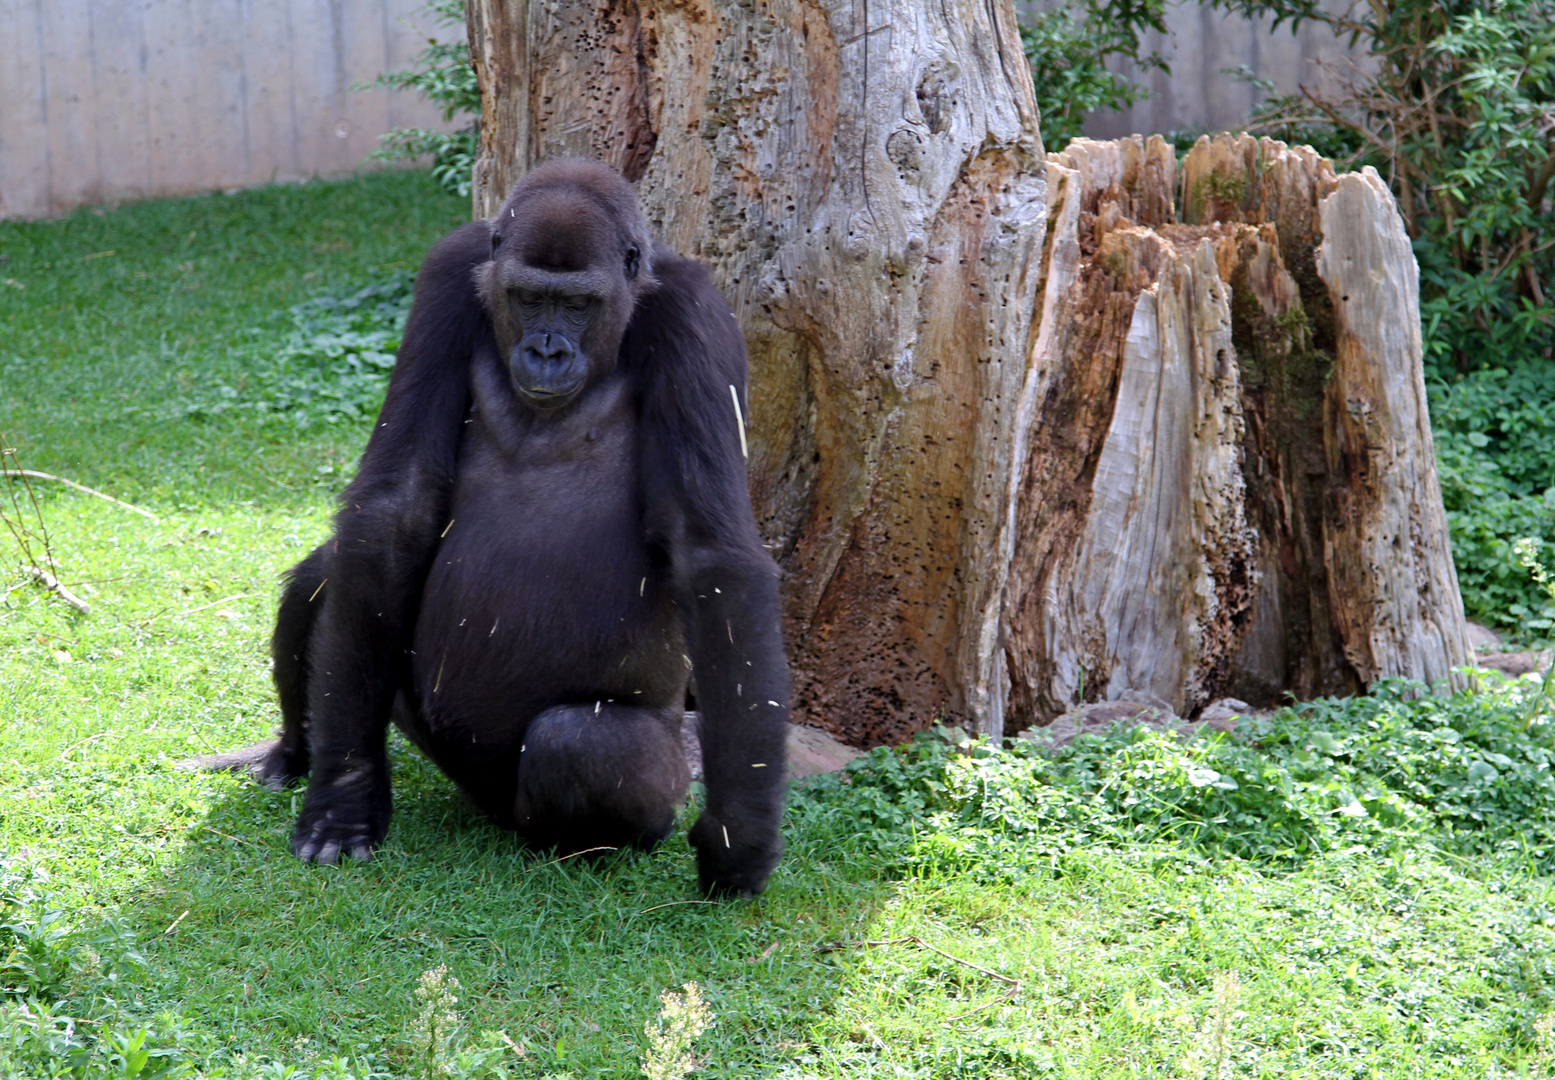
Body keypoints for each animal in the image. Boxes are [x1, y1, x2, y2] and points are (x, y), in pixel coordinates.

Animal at [231, 160, 789, 901]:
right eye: (527, 298)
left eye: (577, 306)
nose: (545, 351)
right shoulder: (449, 271)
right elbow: (393, 512)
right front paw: (344, 796)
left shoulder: (697, 318)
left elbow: (711, 558)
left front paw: (740, 835)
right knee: (333, 581)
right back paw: (295, 752)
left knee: (581, 745)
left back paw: (581, 845)